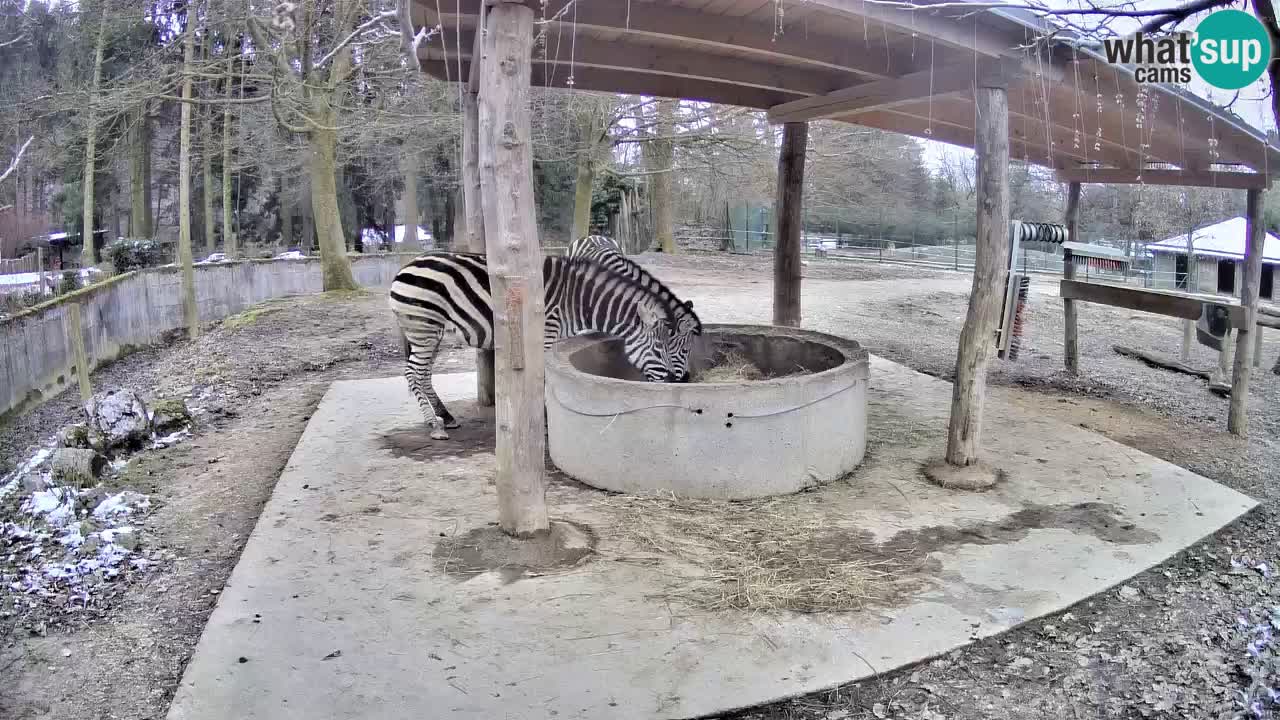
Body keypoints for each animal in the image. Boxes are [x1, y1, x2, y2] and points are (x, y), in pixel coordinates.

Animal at [389, 249, 680, 440]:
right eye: (659, 350)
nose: (672, 383)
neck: (577, 301)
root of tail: (405, 266)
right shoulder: (545, 332)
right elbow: (541, 380)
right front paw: (544, 421)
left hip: (429, 332)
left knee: (424, 374)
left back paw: (446, 417)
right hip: (424, 328)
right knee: (412, 373)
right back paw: (434, 425)